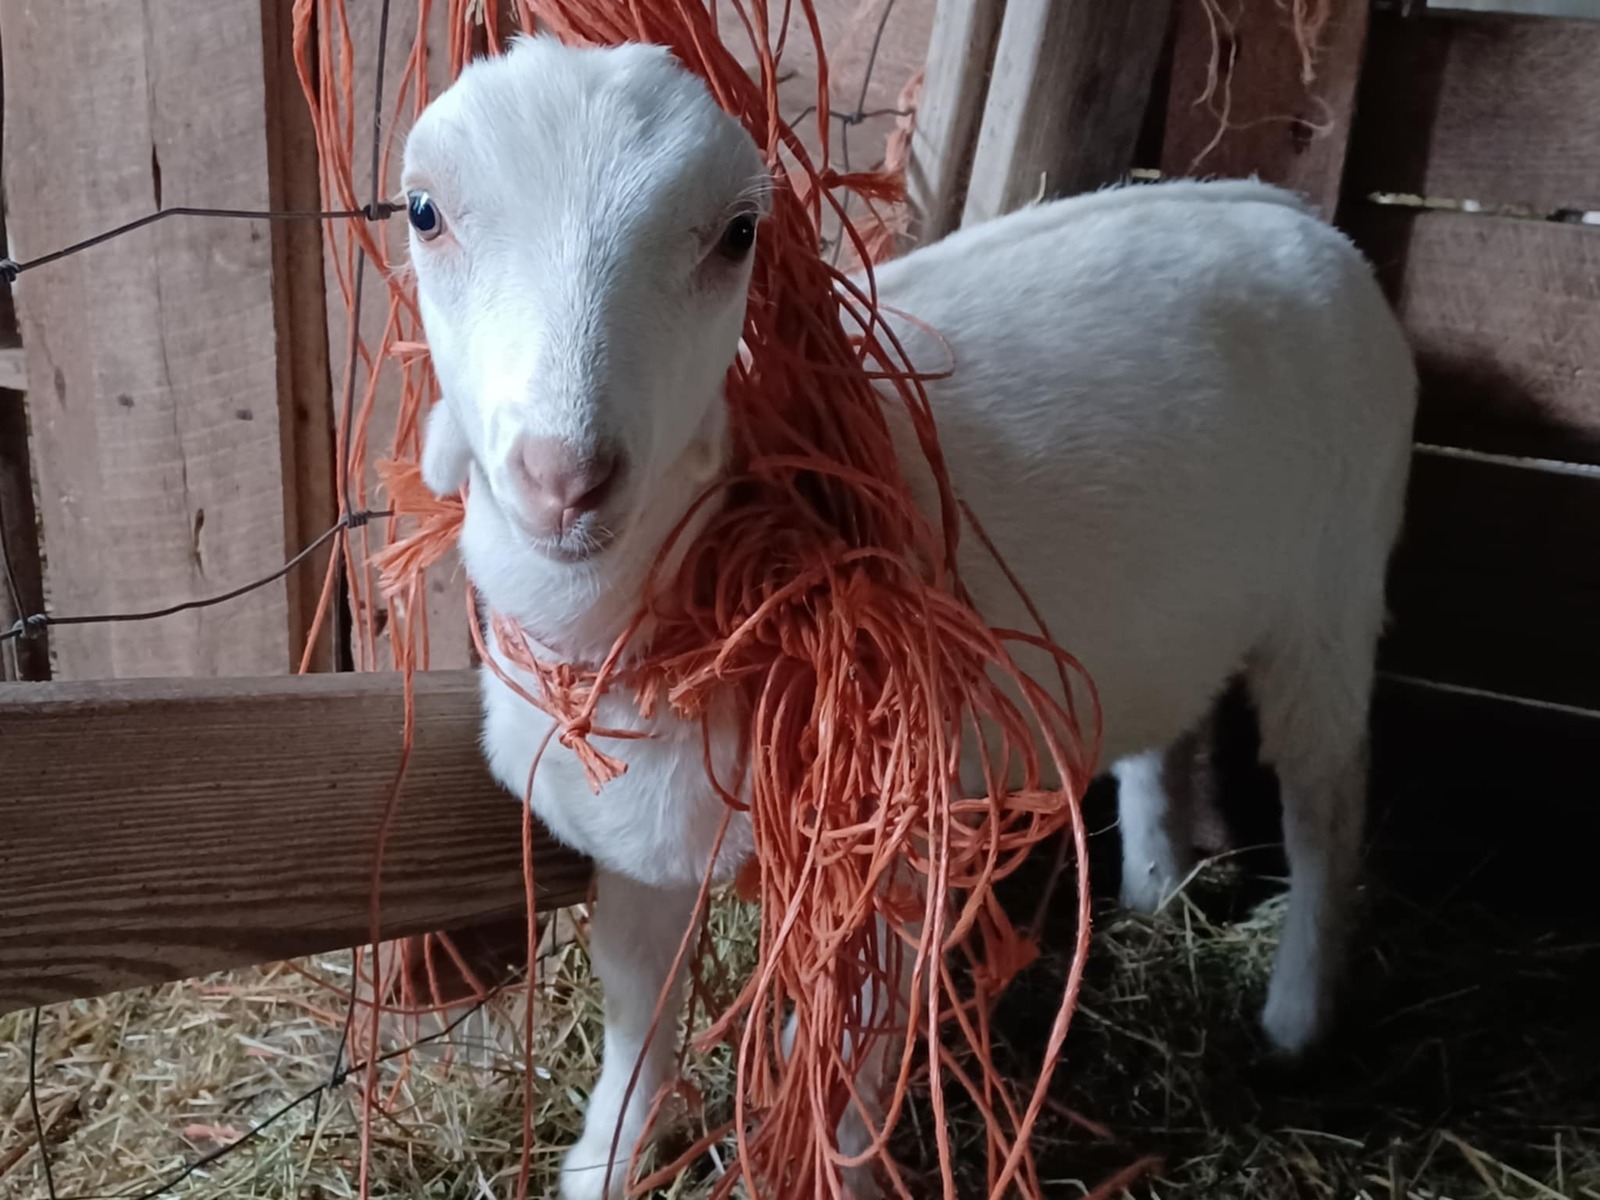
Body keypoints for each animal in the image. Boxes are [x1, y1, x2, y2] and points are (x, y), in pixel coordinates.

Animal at [402, 35, 1417, 1200]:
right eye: (423, 213)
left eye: (739, 233)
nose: (565, 477)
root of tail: (1284, 211)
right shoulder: (629, 857)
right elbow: (633, 1023)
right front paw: (604, 1162)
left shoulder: (896, 856)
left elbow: (845, 1073)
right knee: (1164, 736)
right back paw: (1157, 888)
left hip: (1335, 584)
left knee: (1324, 798)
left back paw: (1297, 1017)